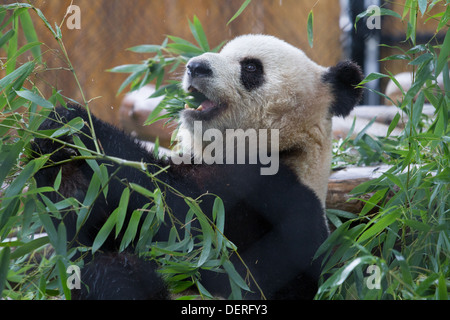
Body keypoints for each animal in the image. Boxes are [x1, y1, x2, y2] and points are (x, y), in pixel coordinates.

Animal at [32, 33, 362, 298]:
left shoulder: (272, 198)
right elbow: (91, 225)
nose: (195, 66)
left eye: (251, 67)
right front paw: (51, 148)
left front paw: (76, 124)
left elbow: (176, 215)